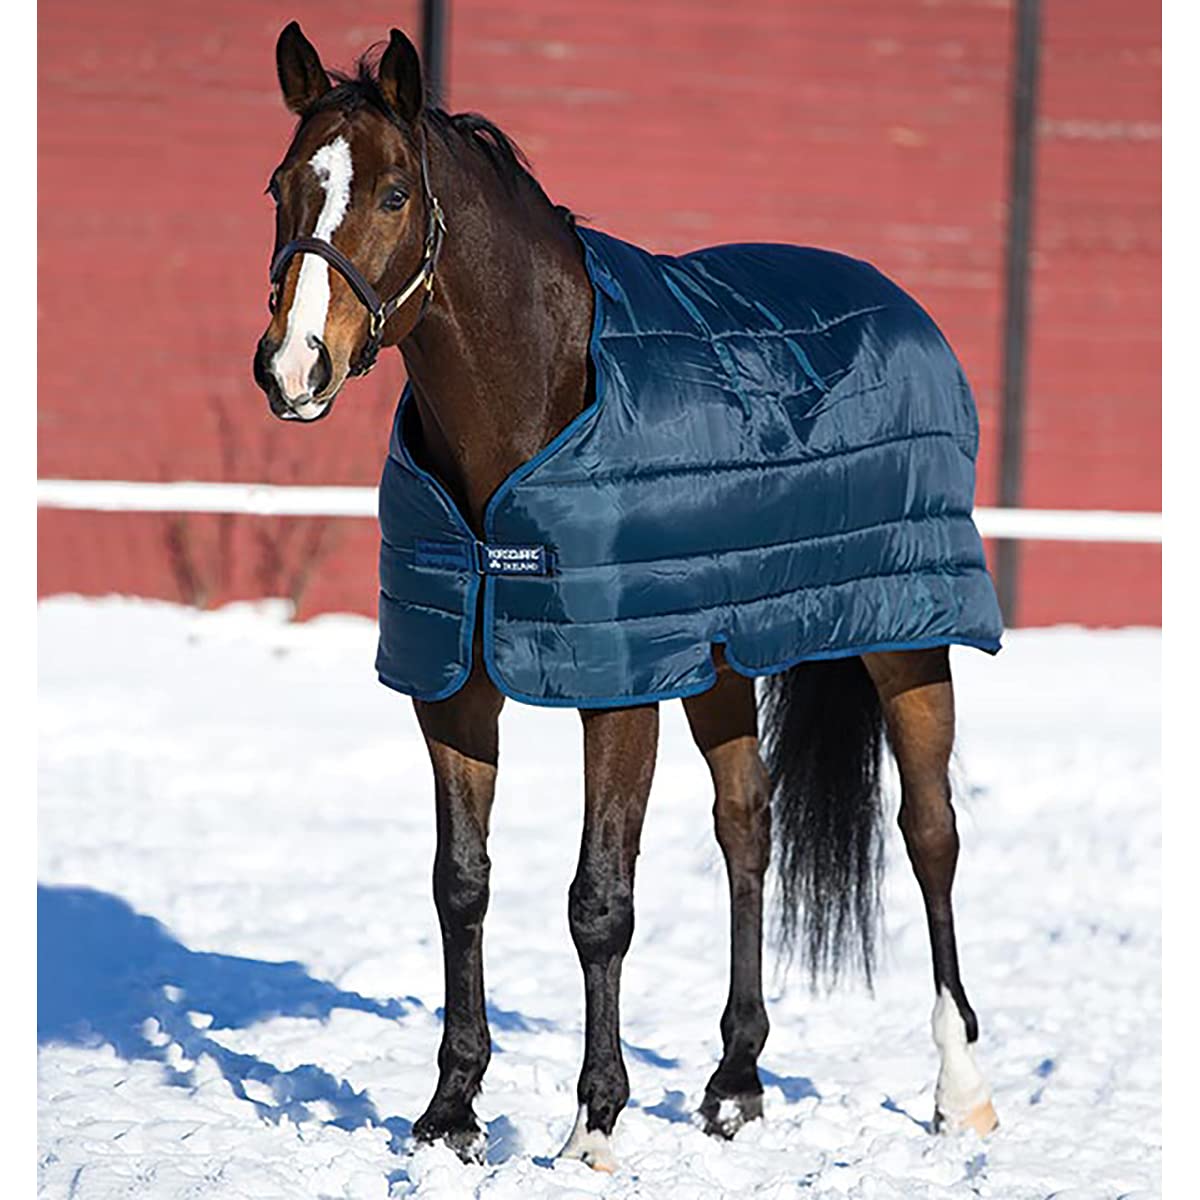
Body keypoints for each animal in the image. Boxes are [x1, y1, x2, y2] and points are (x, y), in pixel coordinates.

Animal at [252, 23, 1000, 1169]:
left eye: (390, 194)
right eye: (282, 185)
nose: (293, 369)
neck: (540, 399)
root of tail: (898, 300)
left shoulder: (617, 689)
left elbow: (599, 899)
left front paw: (592, 1126)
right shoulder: (457, 685)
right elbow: (460, 883)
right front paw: (450, 1115)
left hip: (908, 634)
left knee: (930, 834)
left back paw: (958, 1091)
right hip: (720, 657)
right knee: (748, 827)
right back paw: (735, 1083)